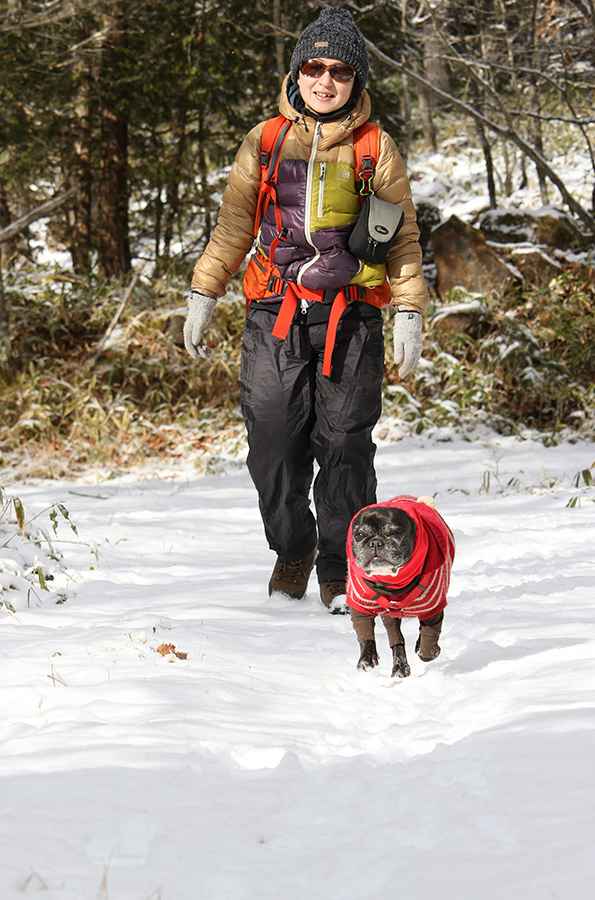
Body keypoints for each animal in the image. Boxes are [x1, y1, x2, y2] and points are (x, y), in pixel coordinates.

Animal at [346, 496, 454, 680]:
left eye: (395, 533)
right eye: (359, 535)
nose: (375, 542)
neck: (391, 581)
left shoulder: (433, 609)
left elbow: (429, 643)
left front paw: (428, 650)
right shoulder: (360, 603)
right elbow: (365, 632)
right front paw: (366, 659)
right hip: (389, 615)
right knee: (395, 635)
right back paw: (400, 668)